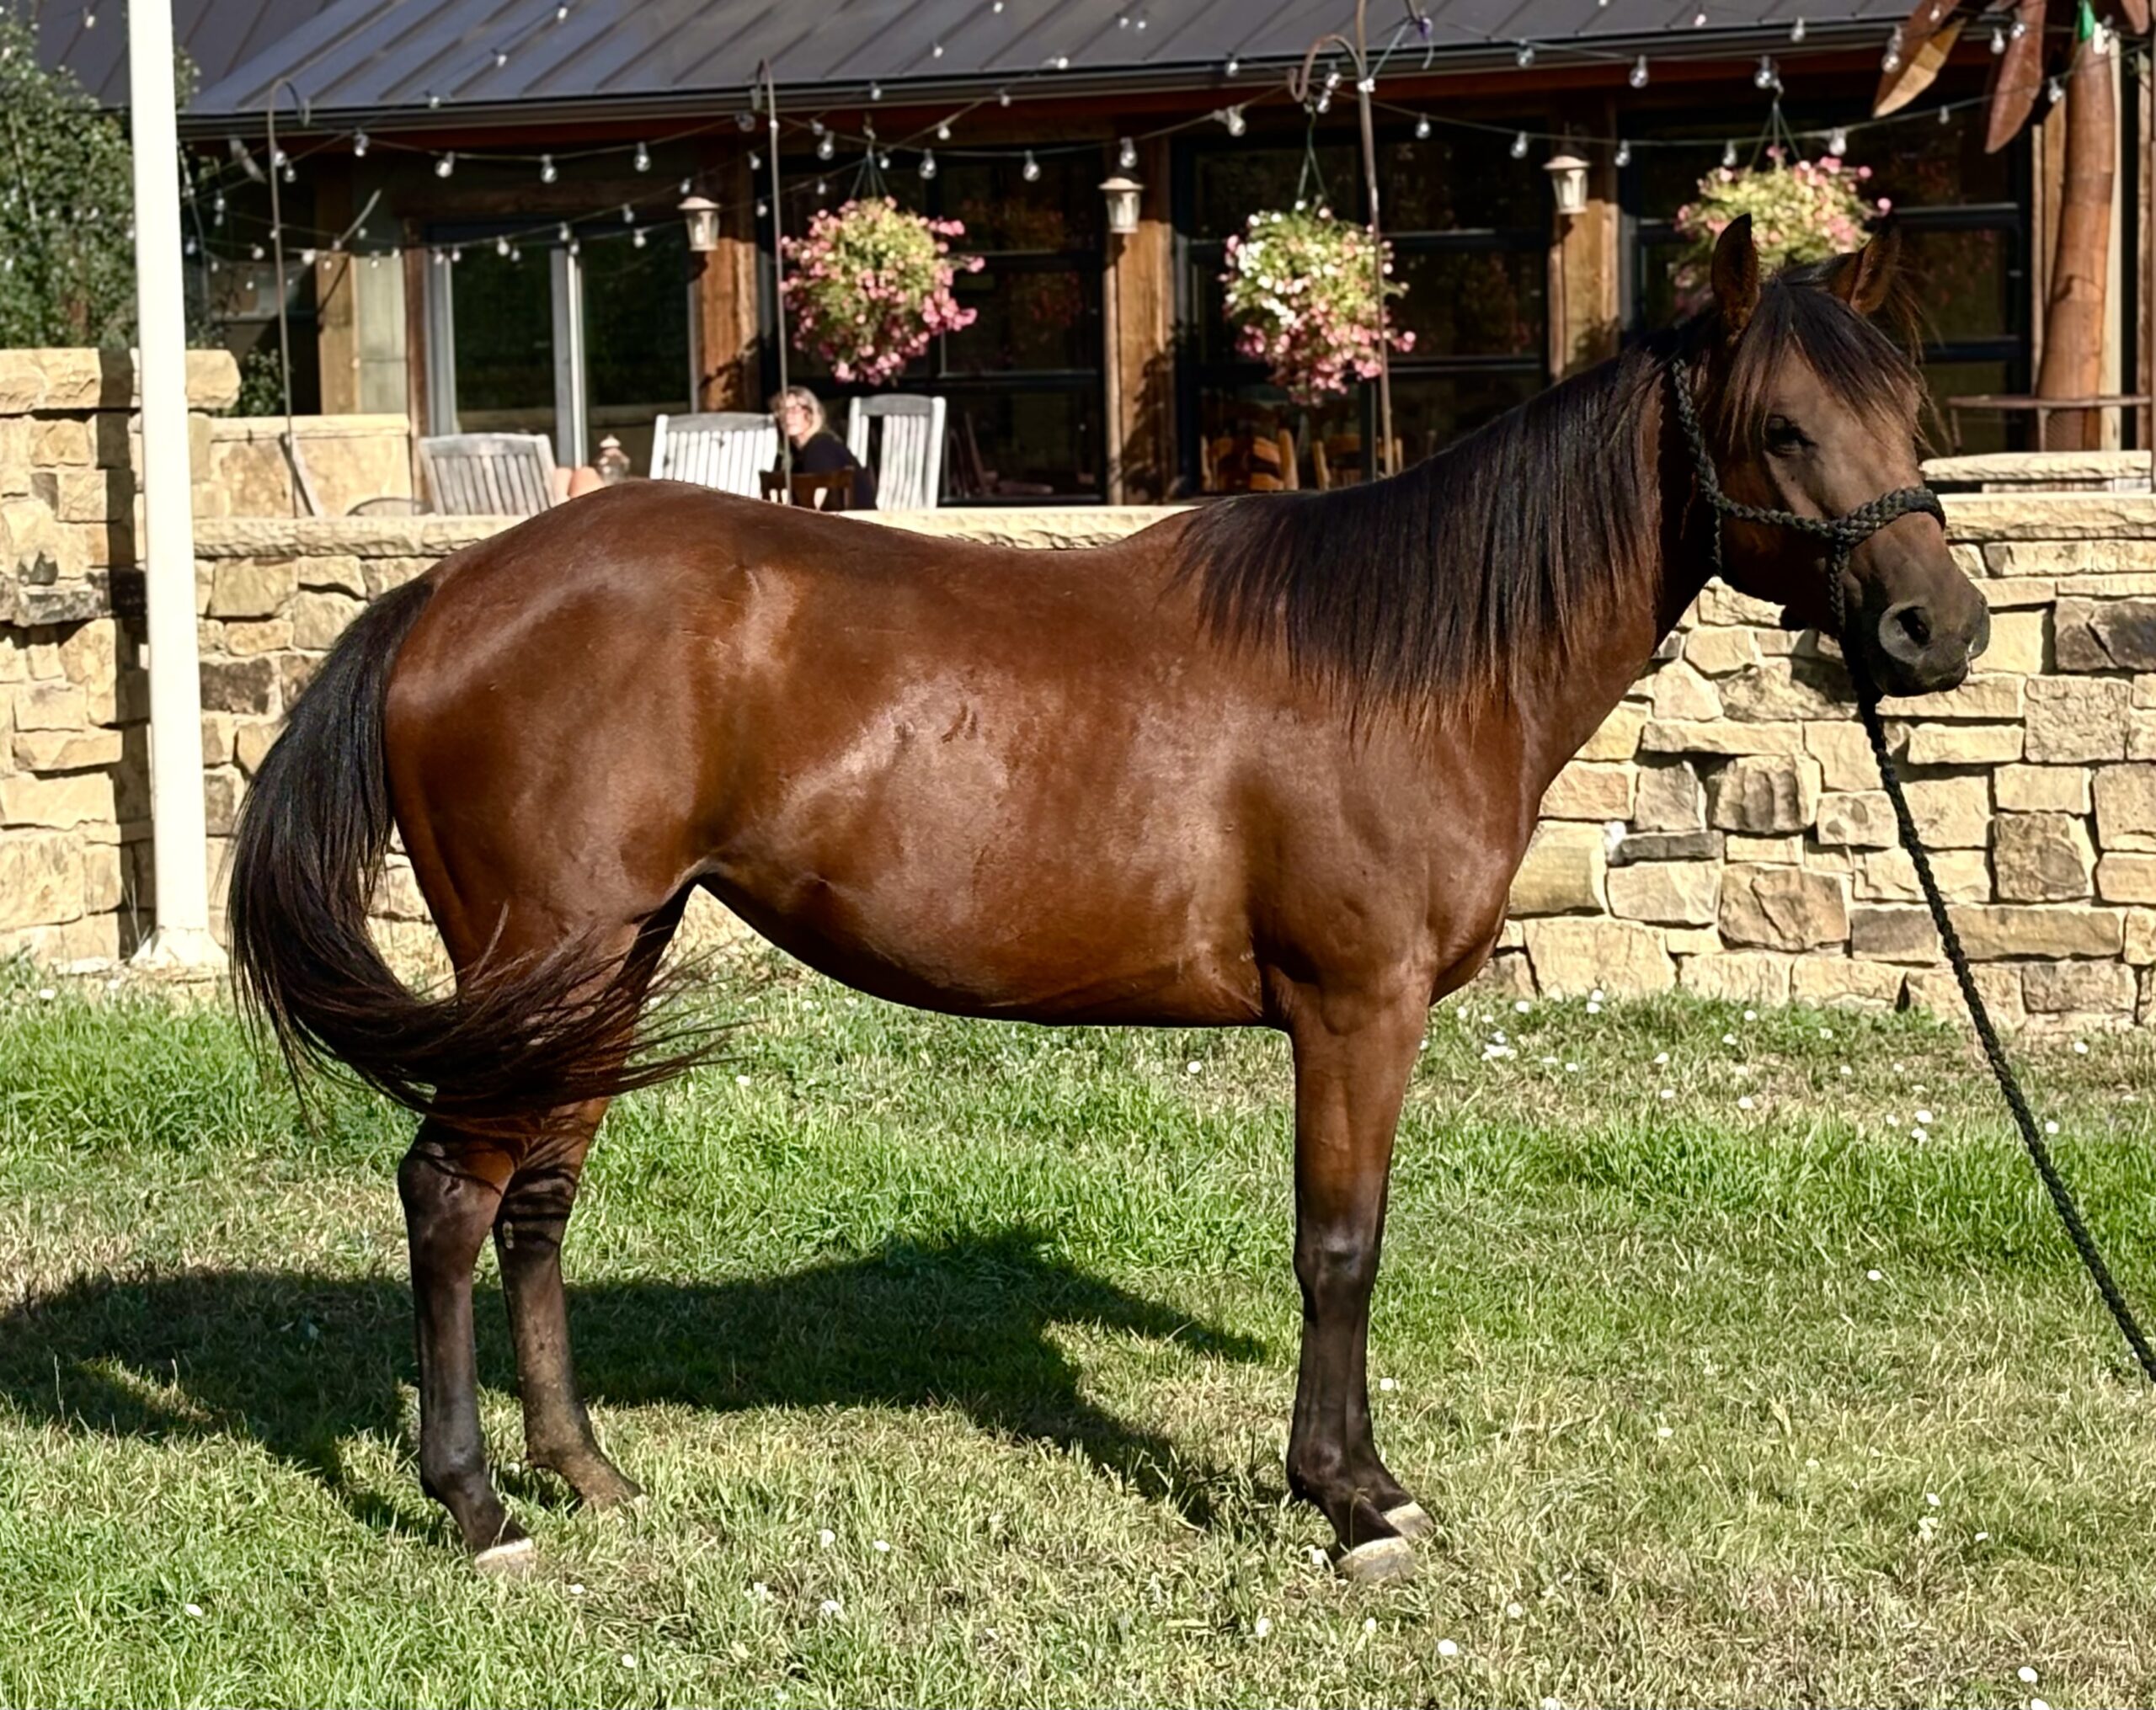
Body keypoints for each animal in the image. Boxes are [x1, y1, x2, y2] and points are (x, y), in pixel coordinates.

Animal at [227, 217, 1988, 1582]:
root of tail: (449, 589)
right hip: (547, 954)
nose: (1939, 630)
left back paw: (585, 1472)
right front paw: (1351, 1497)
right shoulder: (1356, 1008)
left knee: (536, 1202)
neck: (1405, 664)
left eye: (1910, 410)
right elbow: (1340, 1245)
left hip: (601, 970)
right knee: (450, 1196)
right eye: (1782, 429)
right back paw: (476, 1507)